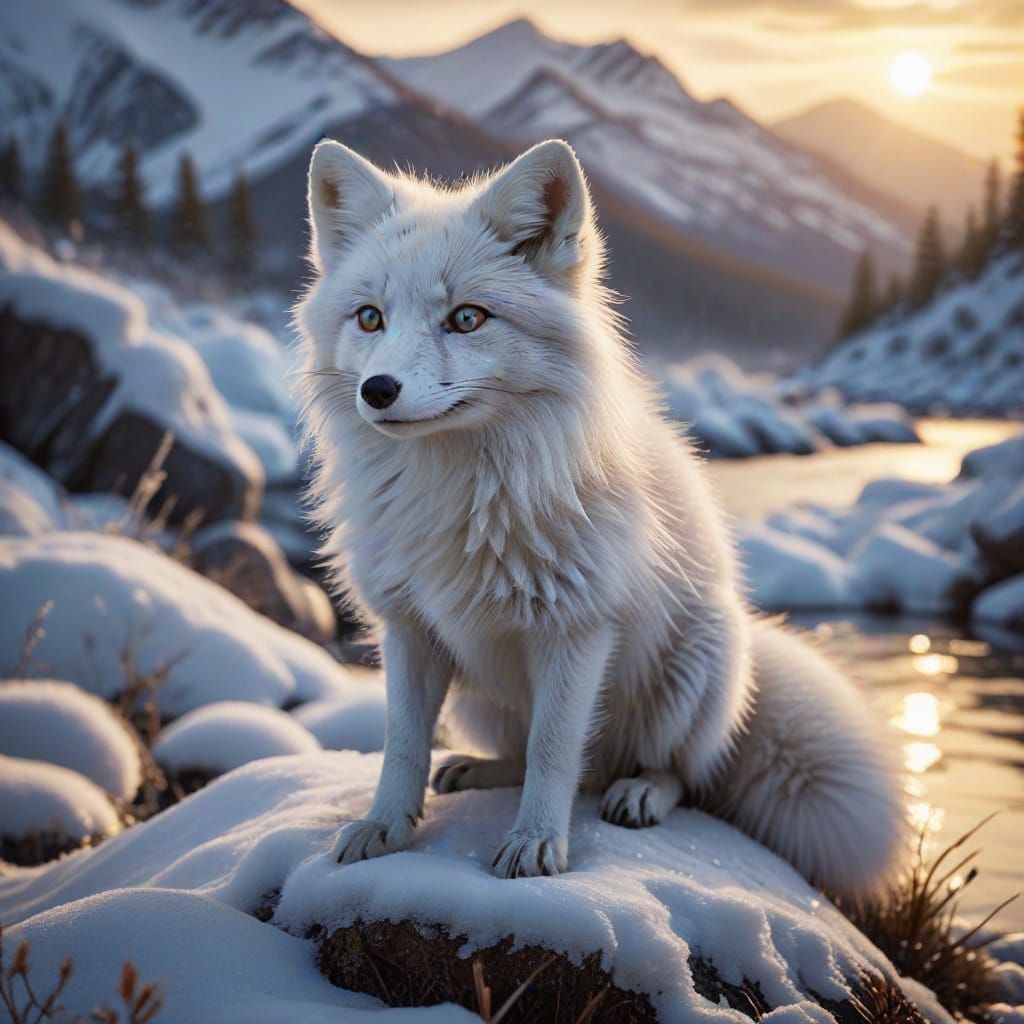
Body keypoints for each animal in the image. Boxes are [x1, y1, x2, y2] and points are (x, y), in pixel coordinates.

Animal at [295, 137, 907, 895]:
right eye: (369, 317)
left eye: (467, 318)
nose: (378, 391)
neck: (459, 495)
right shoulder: (409, 628)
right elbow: (403, 746)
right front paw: (384, 828)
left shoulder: (577, 629)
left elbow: (556, 749)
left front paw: (535, 845)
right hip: (479, 698)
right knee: (555, 761)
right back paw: (481, 770)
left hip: (694, 667)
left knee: (660, 772)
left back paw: (640, 792)